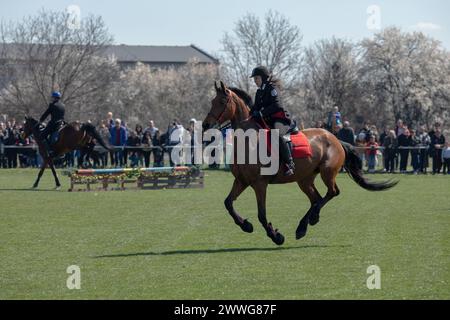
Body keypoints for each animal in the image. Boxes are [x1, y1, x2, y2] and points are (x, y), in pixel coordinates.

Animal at [202, 82, 396, 245]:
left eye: (222, 101)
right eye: (212, 101)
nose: (205, 125)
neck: (248, 141)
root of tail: (336, 139)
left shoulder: (259, 184)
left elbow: (262, 215)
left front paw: (276, 236)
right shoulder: (241, 181)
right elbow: (228, 203)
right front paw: (245, 225)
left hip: (327, 172)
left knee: (332, 192)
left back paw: (310, 220)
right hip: (305, 179)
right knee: (316, 199)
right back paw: (304, 225)